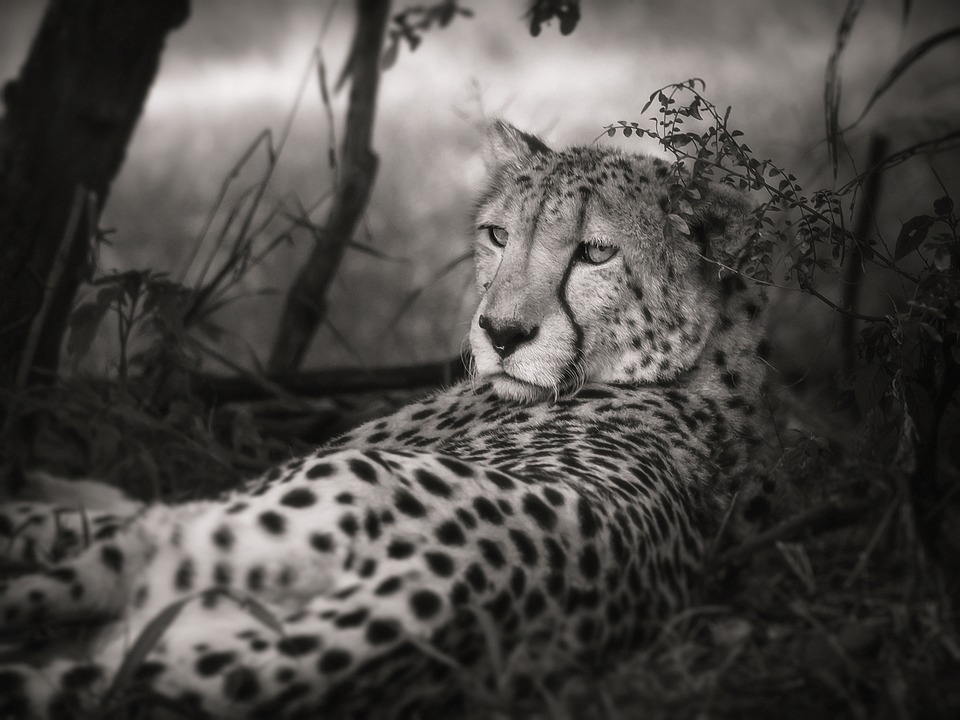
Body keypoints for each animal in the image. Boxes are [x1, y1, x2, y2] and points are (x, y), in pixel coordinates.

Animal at [0, 120, 768, 719]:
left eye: (597, 252)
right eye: (497, 236)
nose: (501, 333)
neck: (697, 361)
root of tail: (446, 589)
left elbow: (93, 506)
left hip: (205, 535)